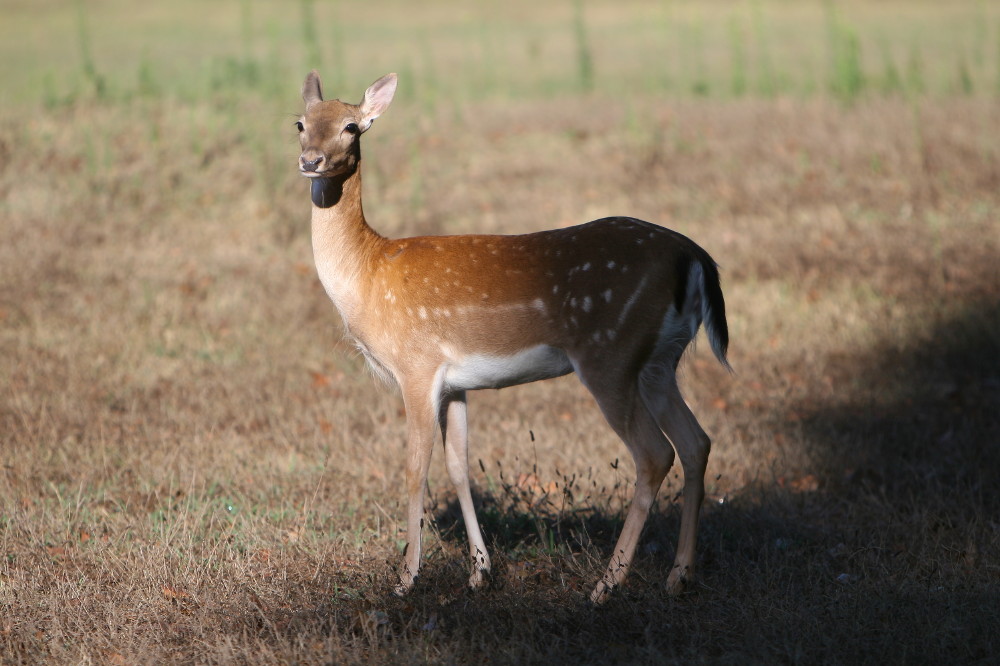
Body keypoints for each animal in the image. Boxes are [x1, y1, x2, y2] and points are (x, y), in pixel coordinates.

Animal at [292, 71, 732, 600]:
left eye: (352, 127)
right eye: (299, 123)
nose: (310, 160)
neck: (368, 275)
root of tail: (696, 257)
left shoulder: (416, 366)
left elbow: (415, 470)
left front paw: (405, 580)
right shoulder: (454, 383)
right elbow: (459, 467)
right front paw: (479, 571)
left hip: (611, 352)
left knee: (654, 452)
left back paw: (605, 586)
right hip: (659, 361)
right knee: (696, 442)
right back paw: (677, 576)